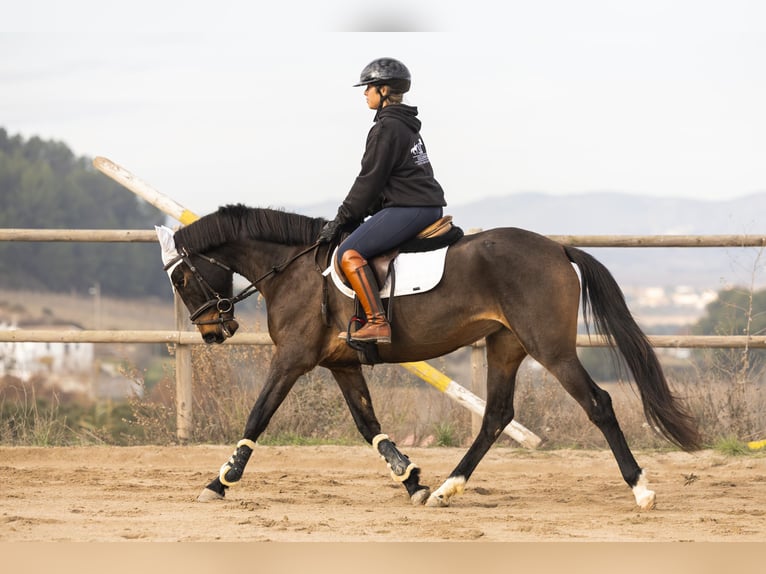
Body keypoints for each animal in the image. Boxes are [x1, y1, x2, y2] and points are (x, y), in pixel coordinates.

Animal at [156, 203, 701, 509]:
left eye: (180, 277)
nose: (214, 331)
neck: (293, 270)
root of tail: (558, 249)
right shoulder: (342, 364)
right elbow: (368, 425)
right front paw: (412, 480)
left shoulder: (291, 359)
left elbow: (258, 415)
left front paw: (220, 481)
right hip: (506, 346)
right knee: (497, 415)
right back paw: (446, 489)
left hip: (549, 347)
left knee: (597, 404)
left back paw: (641, 490)